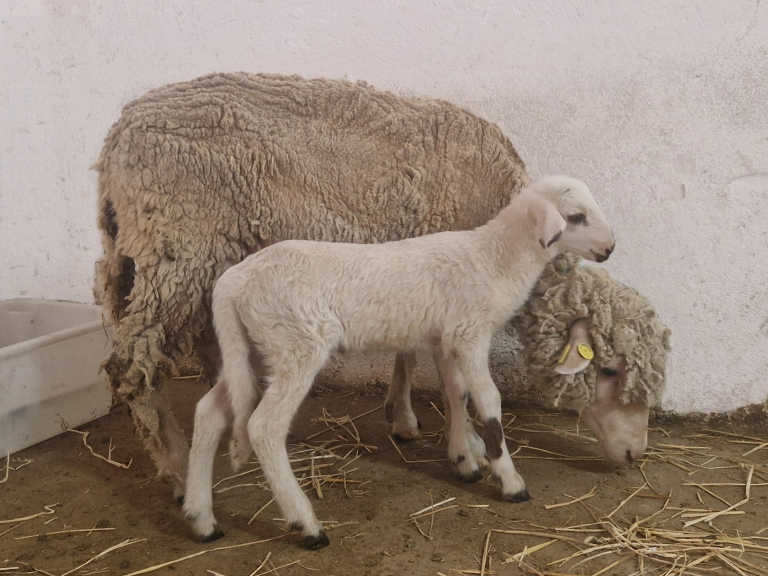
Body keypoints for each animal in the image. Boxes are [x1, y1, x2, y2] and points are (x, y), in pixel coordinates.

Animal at [94, 71, 531, 500]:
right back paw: (176, 467)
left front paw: (404, 417)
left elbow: (408, 352)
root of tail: (117, 136)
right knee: (133, 362)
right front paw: (468, 447)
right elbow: (451, 377)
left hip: (172, 258)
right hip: (180, 248)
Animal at [182, 176, 616, 548]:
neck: (494, 258)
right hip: (296, 342)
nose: (610, 249)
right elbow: (489, 402)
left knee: (208, 412)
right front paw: (508, 480)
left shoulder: (445, 338)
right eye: (576, 216)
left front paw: (464, 458)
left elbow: (455, 394)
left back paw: (202, 519)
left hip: (253, 347)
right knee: (264, 427)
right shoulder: (470, 333)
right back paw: (306, 524)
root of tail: (232, 281)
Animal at [385, 251, 671, 469]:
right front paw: (469, 444)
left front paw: (402, 417)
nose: (635, 452)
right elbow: (454, 385)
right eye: (610, 371)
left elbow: (408, 353)